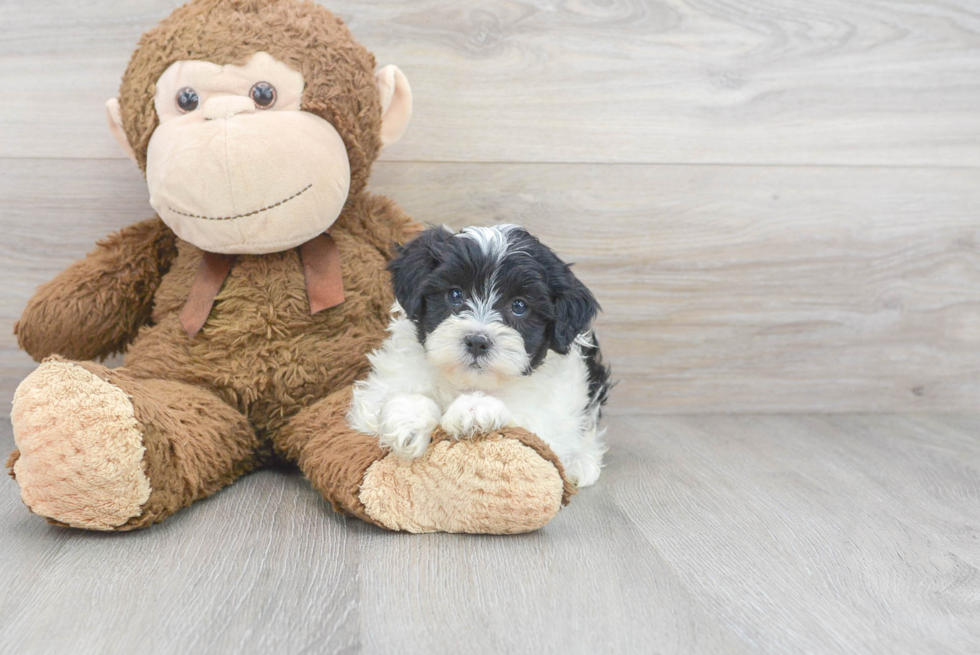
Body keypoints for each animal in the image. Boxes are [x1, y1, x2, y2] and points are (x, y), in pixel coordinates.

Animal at [348, 226, 608, 486]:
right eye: (455, 294)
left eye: (519, 306)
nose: (477, 341)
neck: (469, 382)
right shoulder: (379, 389)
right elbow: (387, 398)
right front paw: (409, 419)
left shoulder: (549, 422)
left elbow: (527, 427)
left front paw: (475, 409)